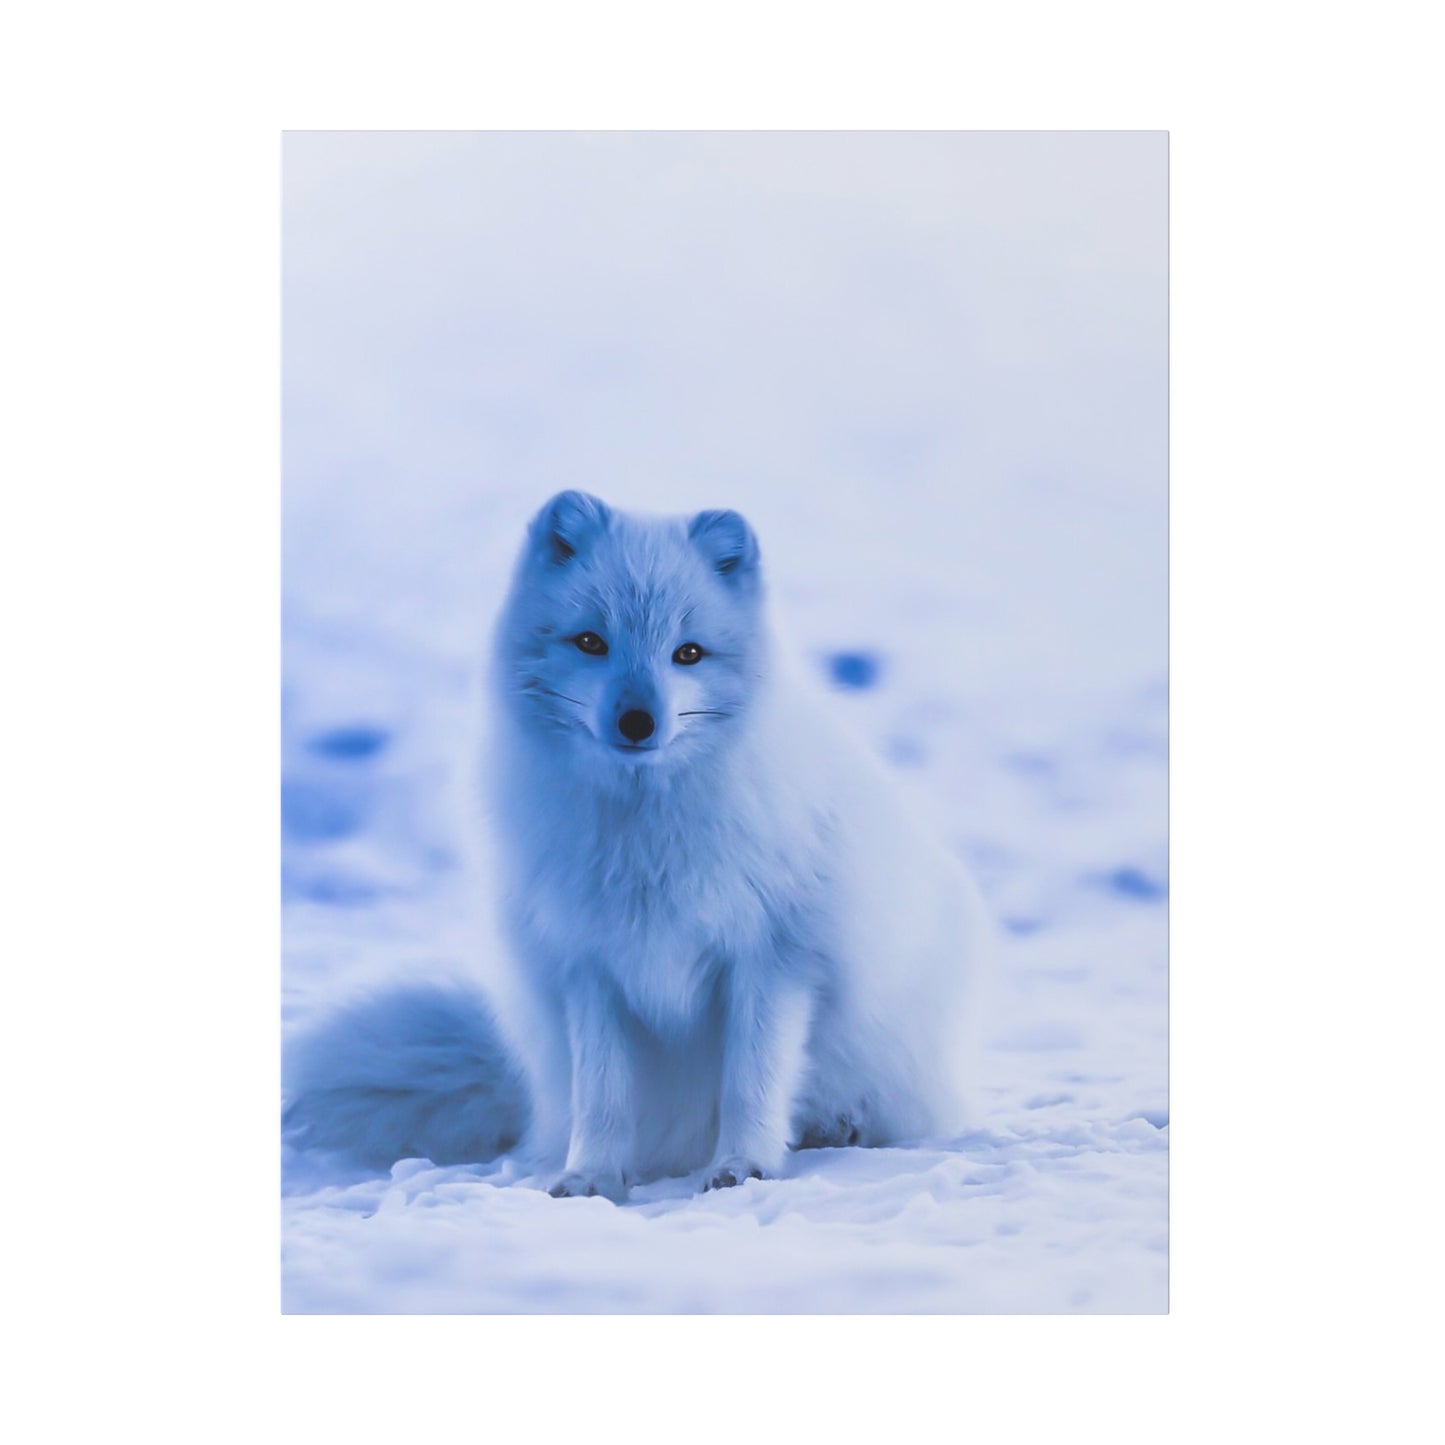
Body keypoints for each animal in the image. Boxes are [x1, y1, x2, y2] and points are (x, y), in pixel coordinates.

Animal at [485, 491, 994, 1202]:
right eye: (590, 641)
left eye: (688, 653)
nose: (638, 721)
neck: (647, 835)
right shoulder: (589, 966)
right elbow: (603, 1094)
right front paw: (591, 1175)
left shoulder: (773, 959)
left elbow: (752, 1080)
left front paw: (743, 1167)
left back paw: (841, 1126)